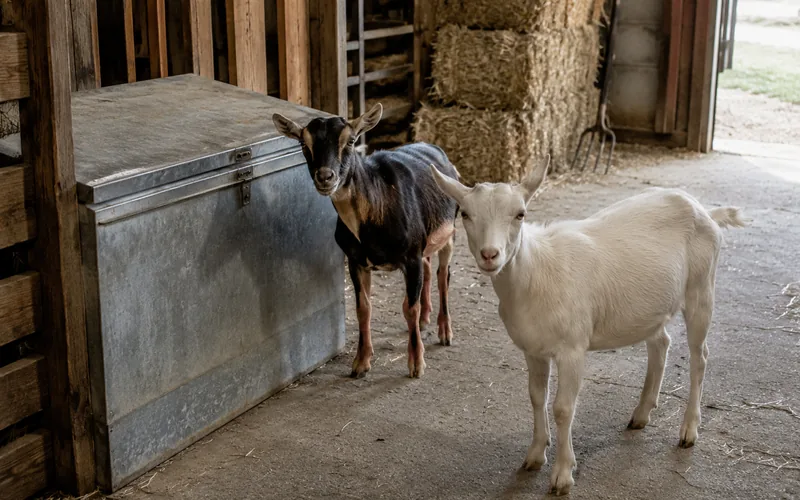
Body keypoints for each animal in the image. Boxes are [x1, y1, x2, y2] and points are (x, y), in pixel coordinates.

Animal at [272, 104, 459, 378]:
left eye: (350, 140)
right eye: (303, 143)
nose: (325, 177)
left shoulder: (410, 257)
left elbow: (409, 307)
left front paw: (416, 364)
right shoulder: (357, 260)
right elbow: (363, 308)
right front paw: (360, 363)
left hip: (450, 231)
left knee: (442, 275)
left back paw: (445, 332)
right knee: (428, 267)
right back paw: (426, 319)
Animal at [430, 158, 746, 495]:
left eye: (520, 214)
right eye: (465, 213)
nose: (490, 255)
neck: (536, 271)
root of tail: (705, 211)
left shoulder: (572, 348)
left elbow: (563, 408)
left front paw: (562, 475)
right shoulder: (533, 350)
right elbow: (536, 397)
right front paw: (535, 455)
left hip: (701, 289)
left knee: (700, 357)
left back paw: (688, 430)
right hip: (652, 306)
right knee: (660, 343)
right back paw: (641, 414)